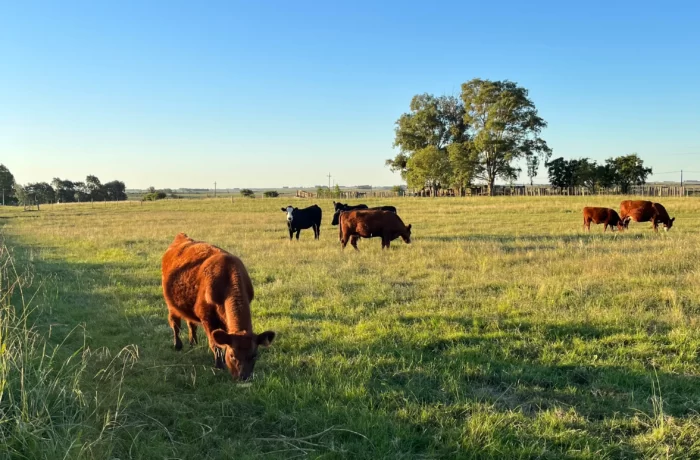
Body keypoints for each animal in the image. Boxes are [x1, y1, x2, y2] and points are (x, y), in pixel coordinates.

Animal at [161, 233, 275, 380]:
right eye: (232, 355)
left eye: (254, 355)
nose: (243, 377)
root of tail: (182, 237)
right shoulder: (207, 319)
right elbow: (215, 344)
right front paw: (219, 365)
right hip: (171, 305)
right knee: (175, 324)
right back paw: (178, 345)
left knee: (191, 324)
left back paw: (193, 343)